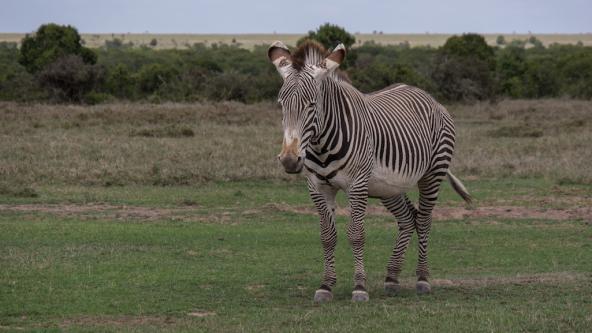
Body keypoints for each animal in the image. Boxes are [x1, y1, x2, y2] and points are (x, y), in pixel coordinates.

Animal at [268, 39, 472, 300]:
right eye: (281, 104)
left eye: (311, 104)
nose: (289, 160)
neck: (322, 145)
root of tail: (426, 95)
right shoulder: (318, 186)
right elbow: (327, 236)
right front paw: (326, 285)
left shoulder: (357, 185)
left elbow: (356, 235)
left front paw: (359, 287)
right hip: (389, 186)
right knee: (408, 219)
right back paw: (392, 277)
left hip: (433, 173)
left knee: (425, 220)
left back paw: (423, 279)